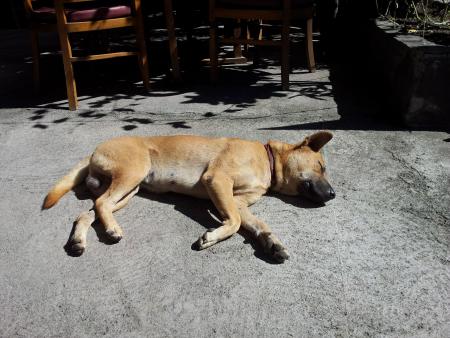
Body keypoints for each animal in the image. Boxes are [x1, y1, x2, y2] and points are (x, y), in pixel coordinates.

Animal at [43, 131, 334, 262]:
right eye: (321, 166)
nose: (333, 195)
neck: (267, 158)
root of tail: (95, 149)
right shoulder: (217, 181)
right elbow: (235, 223)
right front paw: (211, 237)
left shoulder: (238, 201)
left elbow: (256, 224)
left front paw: (272, 242)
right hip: (132, 174)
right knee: (101, 203)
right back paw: (113, 230)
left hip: (130, 190)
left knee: (88, 211)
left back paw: (79, 241)